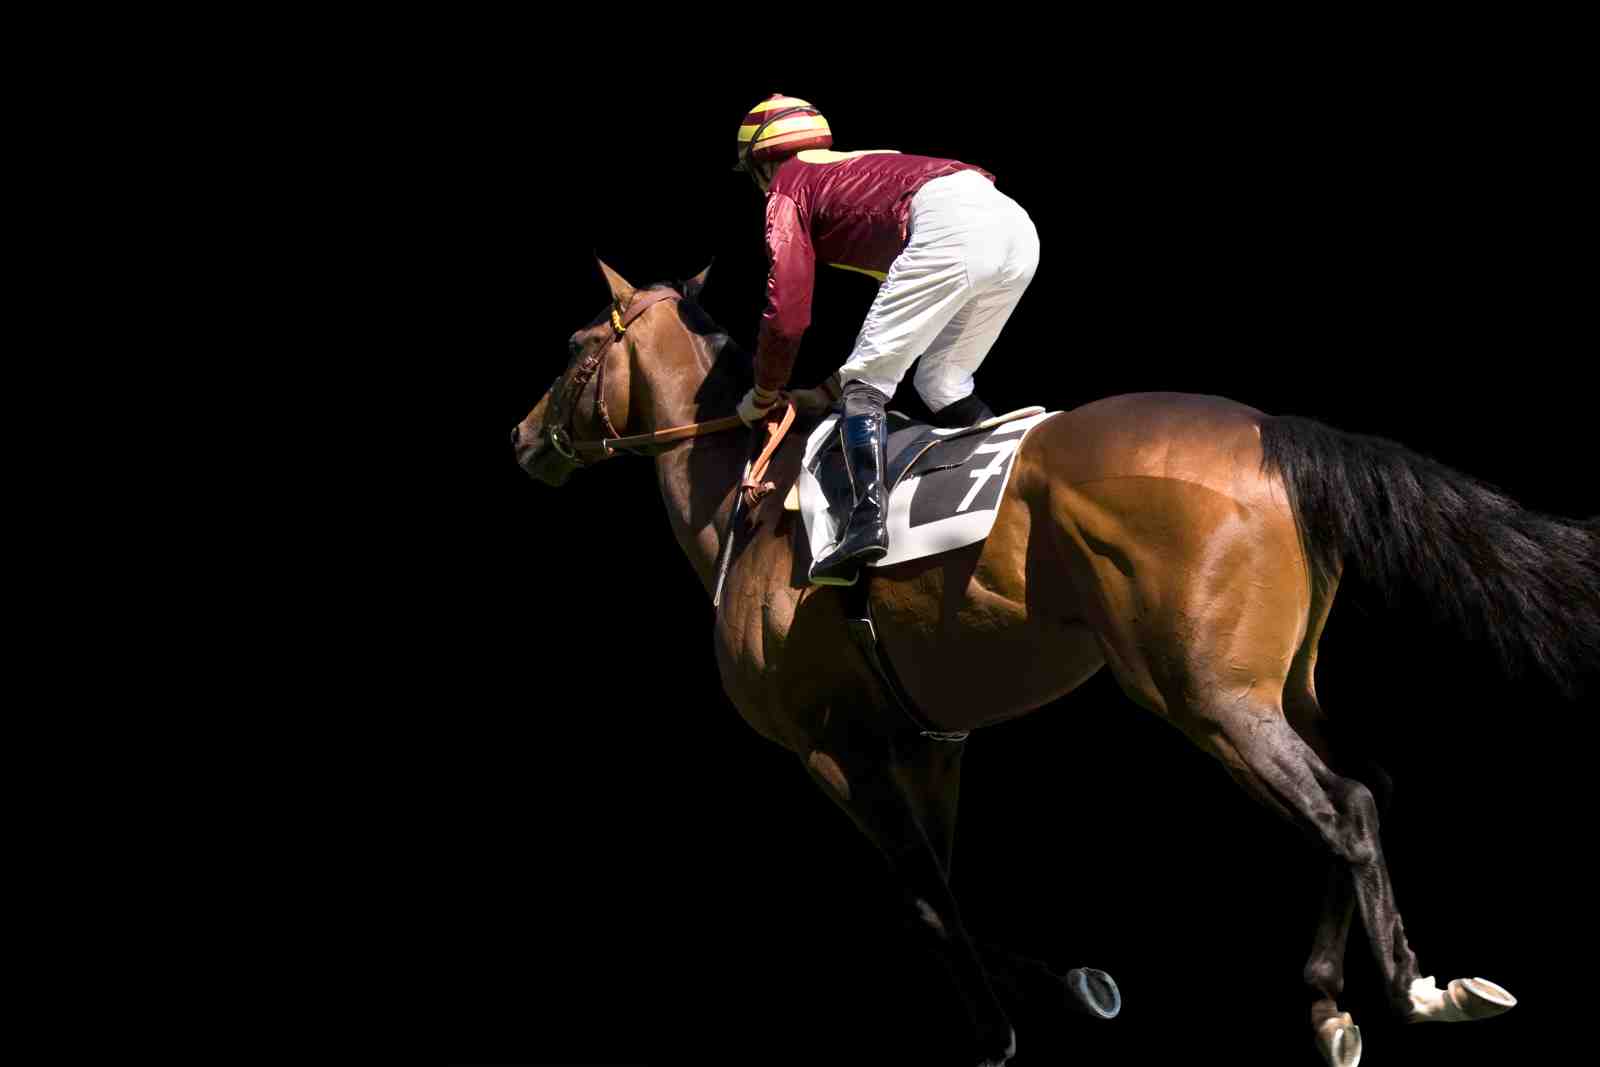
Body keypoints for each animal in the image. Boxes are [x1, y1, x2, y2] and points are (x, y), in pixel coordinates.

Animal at [510, 257, 1599, 1067]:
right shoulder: (931, 741)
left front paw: (1001, 1026)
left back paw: (1416, 989)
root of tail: (1272, 434)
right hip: (1280, 685)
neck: (750, 492)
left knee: (1347, 805)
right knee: (1367, 781)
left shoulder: (833, 744)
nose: (523, 436)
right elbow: (943, 888)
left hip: (1207, 695)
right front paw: (1068, 985)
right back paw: (1329, 1002)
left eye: (573, 350)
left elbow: (923, 898)